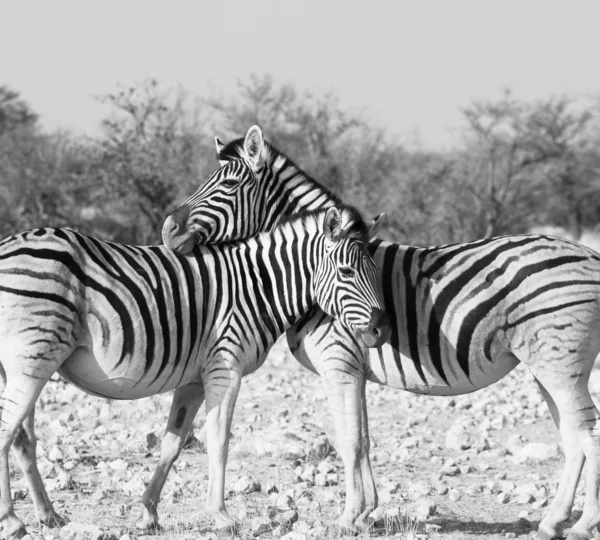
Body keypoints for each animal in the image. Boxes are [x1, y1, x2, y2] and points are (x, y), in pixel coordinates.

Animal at [0, 206, 390, 536]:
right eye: (346, 272)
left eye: (376, 273)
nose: (380, 331)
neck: (258, 288)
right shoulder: (225, 366)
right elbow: (219, 442)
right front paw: (221, 517)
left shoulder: (194, 380)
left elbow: (172, 444)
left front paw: (148, 513)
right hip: (32, 358)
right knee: (7, 431)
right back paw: (12, 521)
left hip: (26, 363)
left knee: (22, 438)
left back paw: (48, 515)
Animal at [162, 126, 600, 540]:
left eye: (227, 184)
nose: (168, 230)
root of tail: (590, 253)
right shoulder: (356, 368)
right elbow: (364, 437)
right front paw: (365, 513)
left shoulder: (339, 363)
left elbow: (348, 440)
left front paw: (347, 518)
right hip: (548, 367)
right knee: (573, 437)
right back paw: (553, 522)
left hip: (559, 364)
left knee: (588, 434)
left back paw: (582, 525)